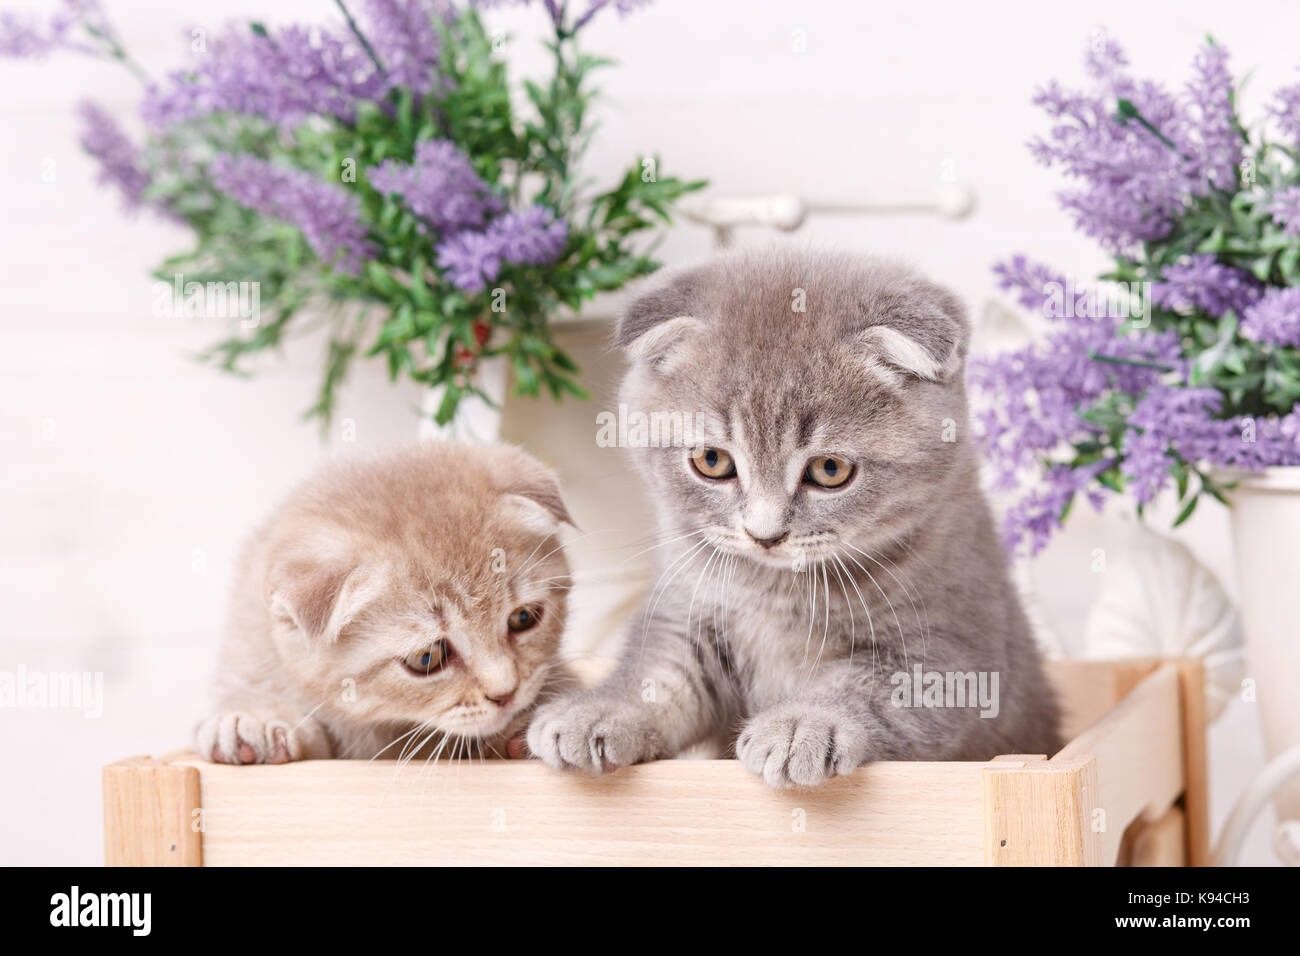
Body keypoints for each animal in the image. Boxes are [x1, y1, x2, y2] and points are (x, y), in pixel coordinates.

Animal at [525, 244, 1055, 785]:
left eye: (829, 469)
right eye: (712, 460)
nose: (766, 535)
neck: (777, 589)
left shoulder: (949, 654)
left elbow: (862, 690)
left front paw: (802, 726)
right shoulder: (688, 615)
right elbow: (657, 675)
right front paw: (598, 710)